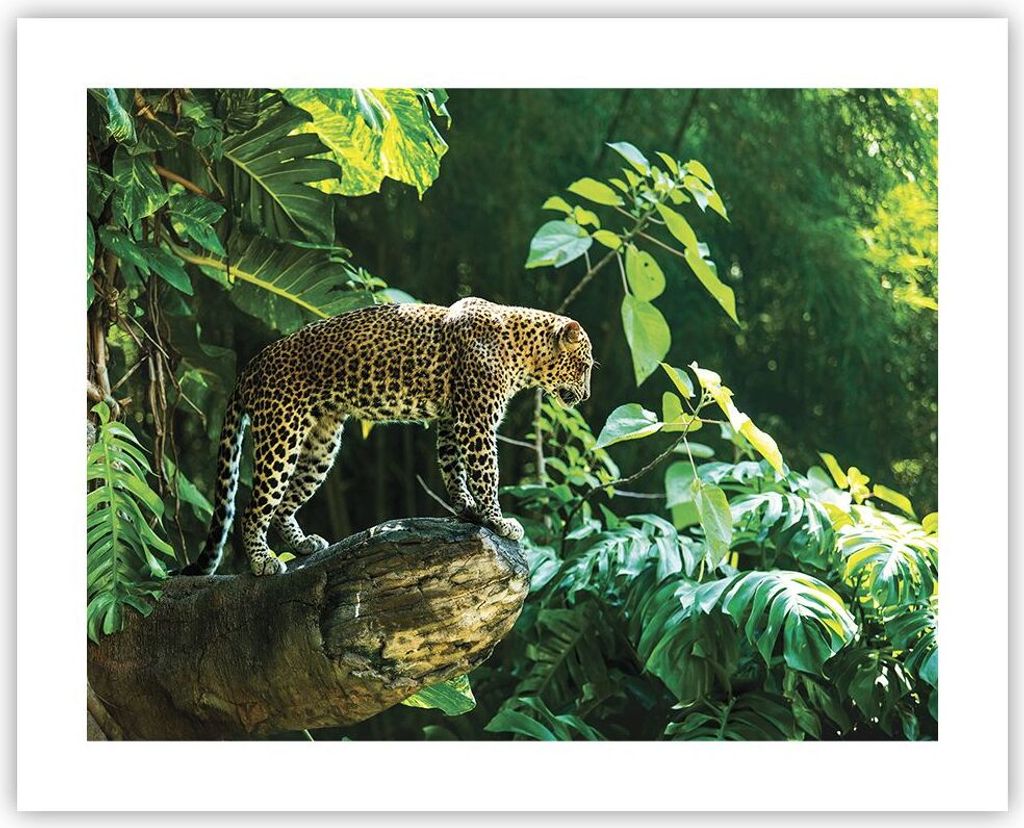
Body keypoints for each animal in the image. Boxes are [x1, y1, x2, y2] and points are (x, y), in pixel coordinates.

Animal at [180, 297, 594, 577]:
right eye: (585, 365)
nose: (587, 396)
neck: (522, 349)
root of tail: (250, 366)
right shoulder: (476, 421)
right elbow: (485, 473)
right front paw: (498, 521)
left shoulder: (452, 419)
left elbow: (453, 469)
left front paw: (467, 510)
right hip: (281, 433)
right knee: (254, 507)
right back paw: (262, 561)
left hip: (321, 443)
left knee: (283, 505)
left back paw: (302, 545)